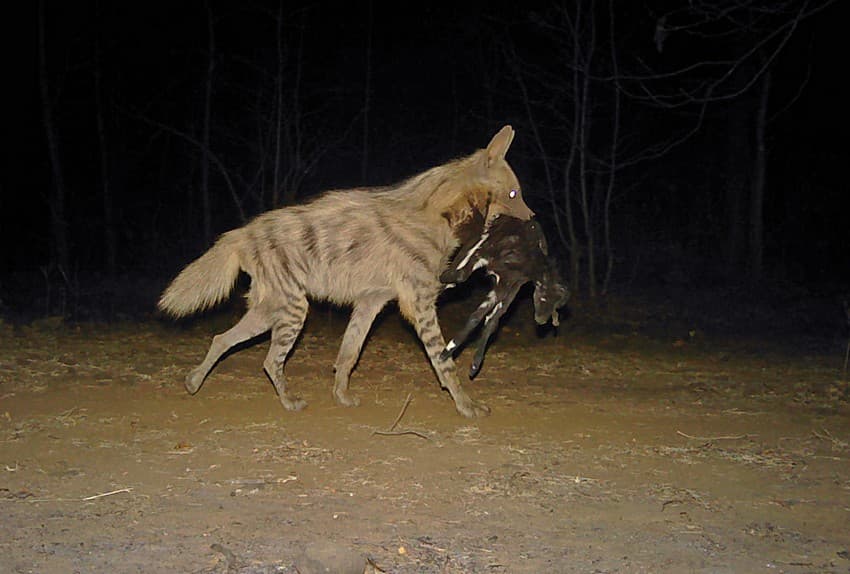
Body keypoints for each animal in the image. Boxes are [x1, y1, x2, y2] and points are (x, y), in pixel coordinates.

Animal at [438, 214, 568, 380]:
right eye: (544, 297)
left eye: (556, 305)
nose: (542, 320)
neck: (527, 257)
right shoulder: (484, 252)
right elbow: (460, 275)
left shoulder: (509, 284)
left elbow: (485, 319)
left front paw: (467, 362)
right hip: (474, 244)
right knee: (456, 272)